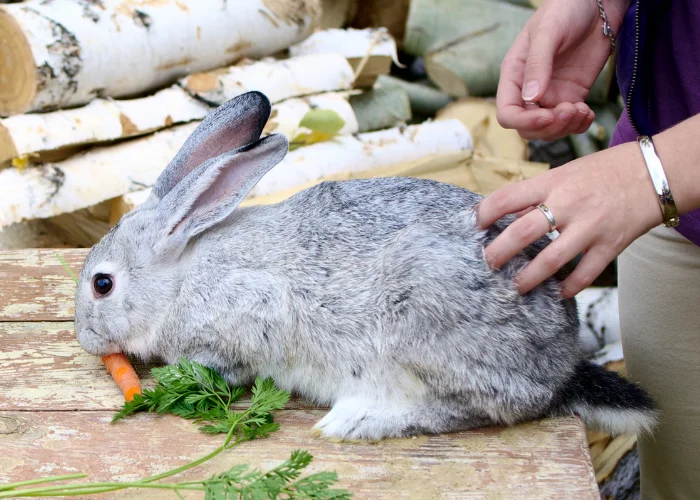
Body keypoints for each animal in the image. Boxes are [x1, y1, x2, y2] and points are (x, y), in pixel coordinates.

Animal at [74, 91, 660, 442]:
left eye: (103, 284)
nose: (84, 338)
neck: (181, 273)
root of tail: (560, 364)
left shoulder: (251, 310)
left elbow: (231, 359)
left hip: (425, 321)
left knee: (480, 407)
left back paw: (355, 420)